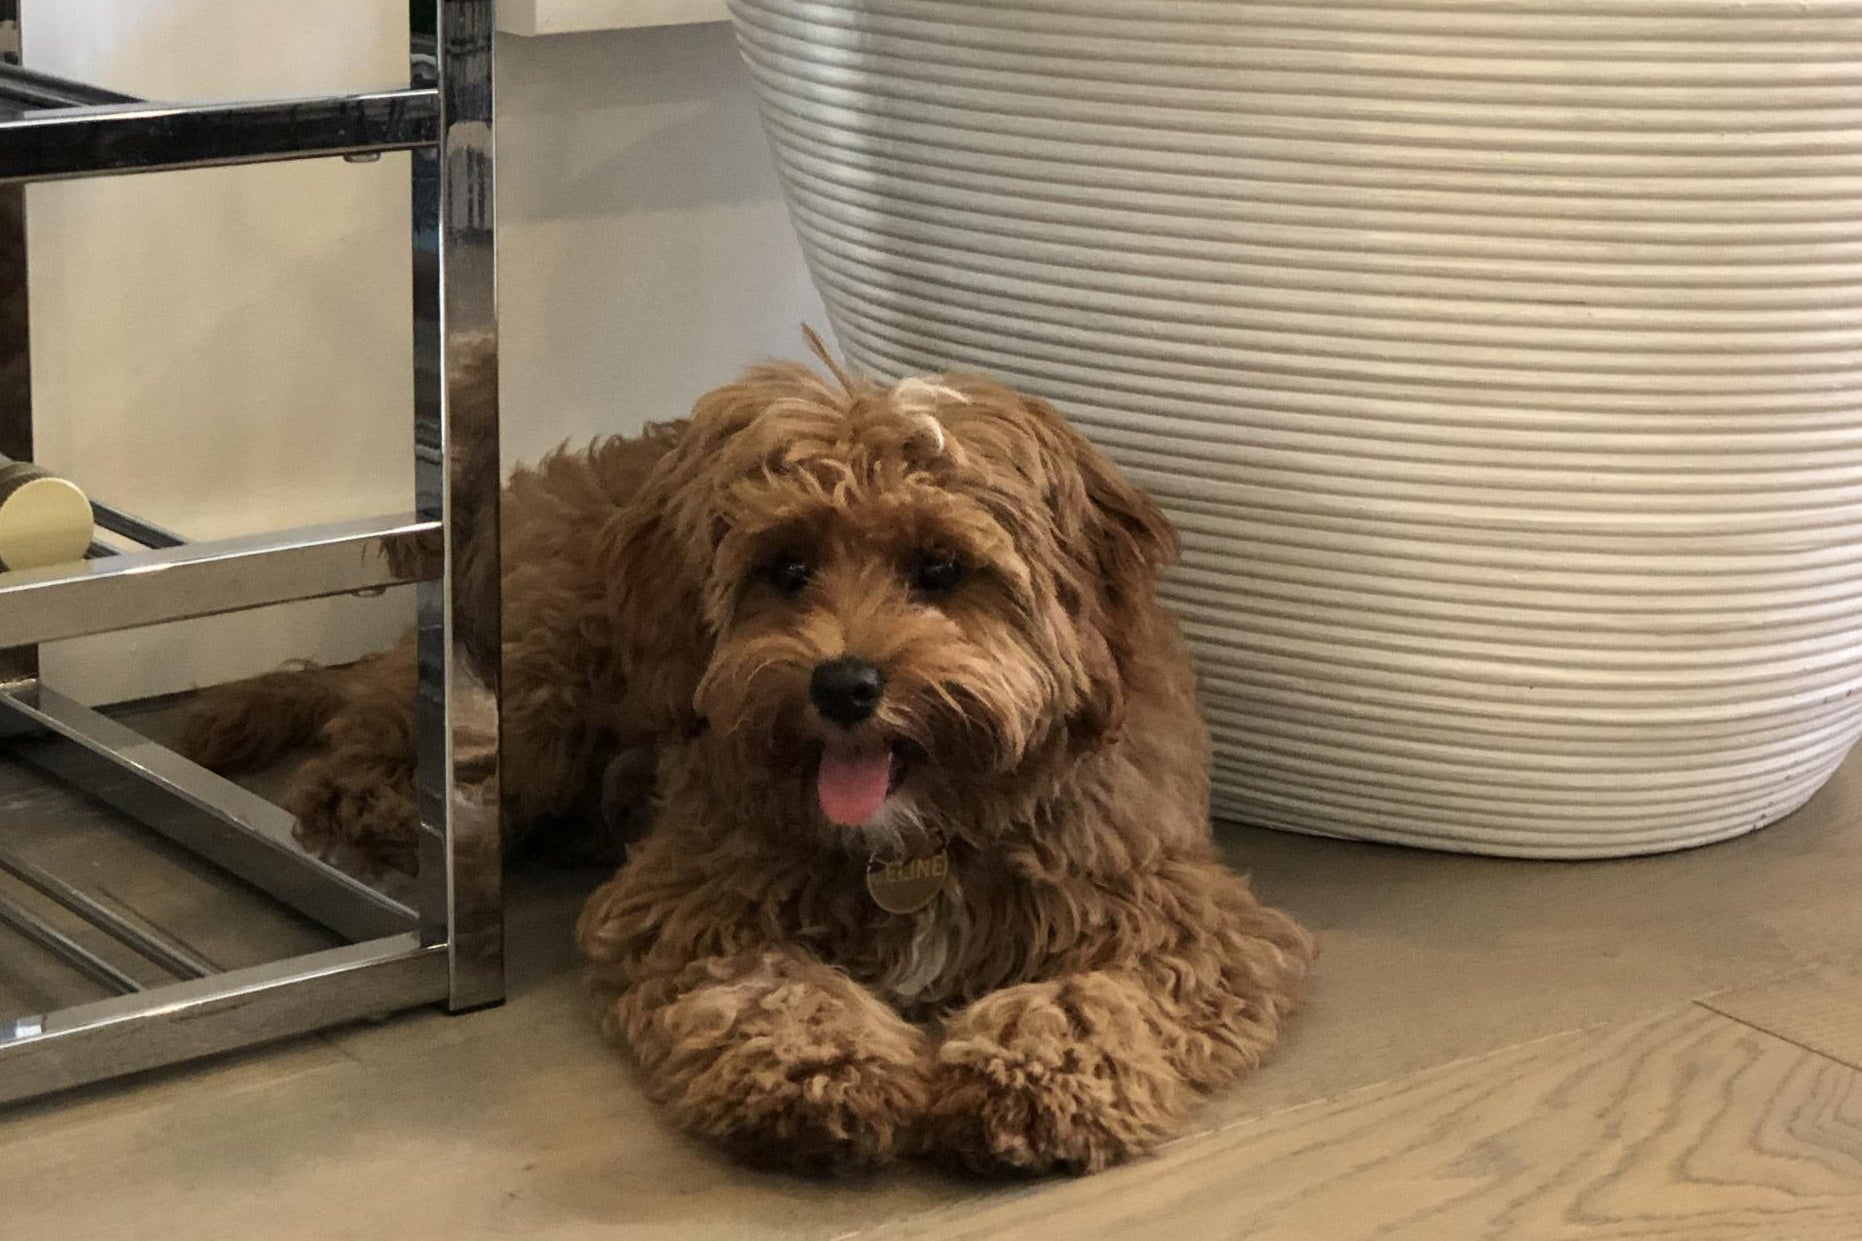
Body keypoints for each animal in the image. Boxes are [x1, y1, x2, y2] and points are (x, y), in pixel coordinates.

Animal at [175, 348, 1310, 1170]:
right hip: (543, 679)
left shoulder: (1178, 911)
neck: (920, 830)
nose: (844, 685)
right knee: (386, 725)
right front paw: (824, 1071)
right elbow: (767, 981)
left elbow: (1093, 992)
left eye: (941, 567)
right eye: (787, 567)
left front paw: (1025, 1076)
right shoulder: (694, 891)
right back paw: (381, 809)